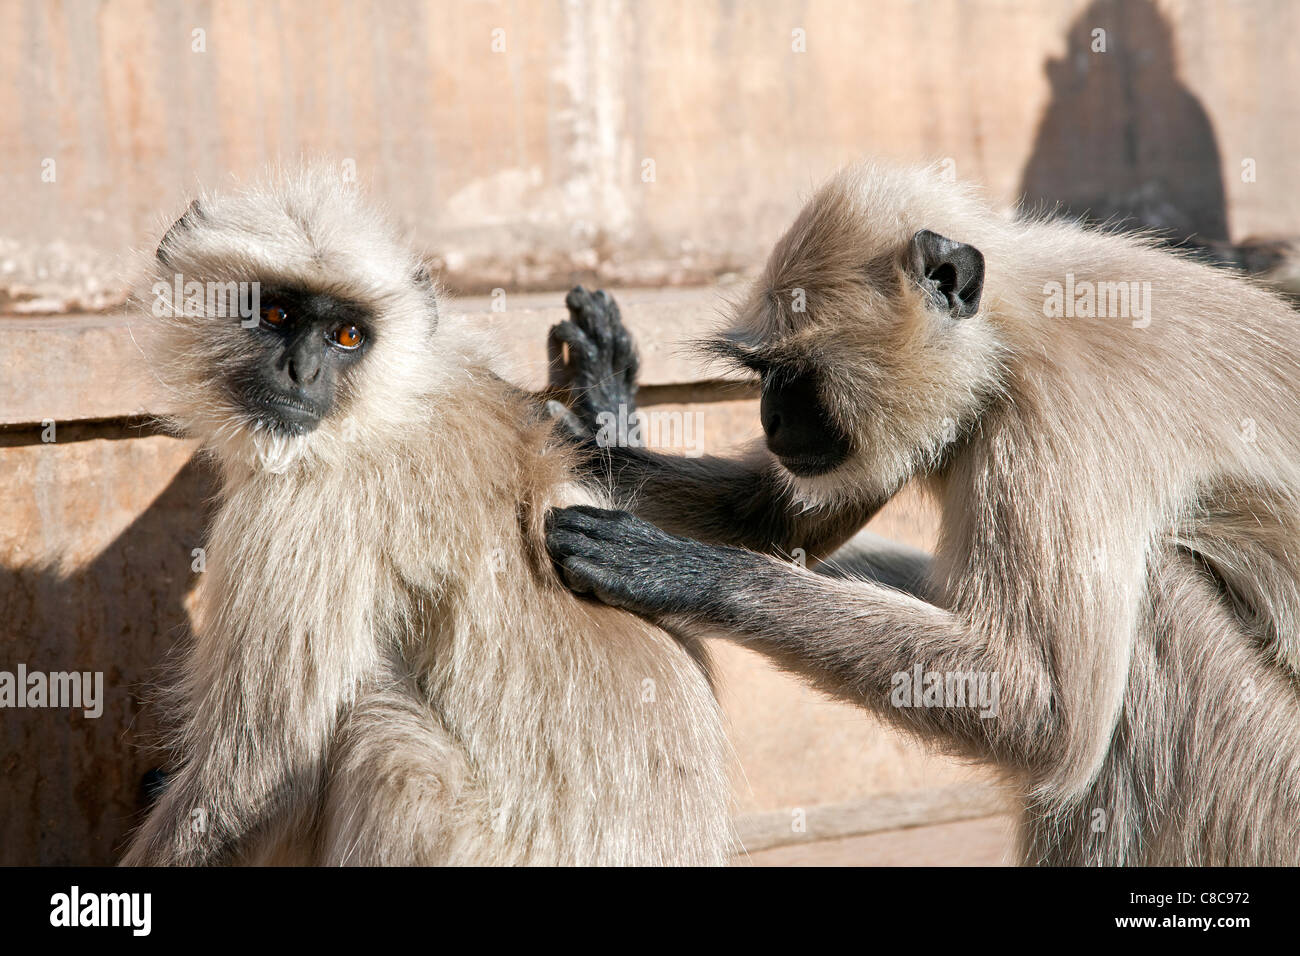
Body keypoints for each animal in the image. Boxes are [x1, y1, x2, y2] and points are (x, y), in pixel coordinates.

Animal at [122, 164, 733, 868]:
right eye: (275, 313)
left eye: (346, 336)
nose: (302, 371)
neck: (388, 409)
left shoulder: (308, 506)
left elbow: (256, 773)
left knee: (380, 737)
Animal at [546, 160, 1300, 863]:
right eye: (763, 378)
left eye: (794, 377)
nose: (770, 419)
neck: (1012, 326)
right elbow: (771, 519)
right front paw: (602, 403)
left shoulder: (1064, 414)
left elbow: (1048, 714)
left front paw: (678, 572)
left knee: (1154, 603)